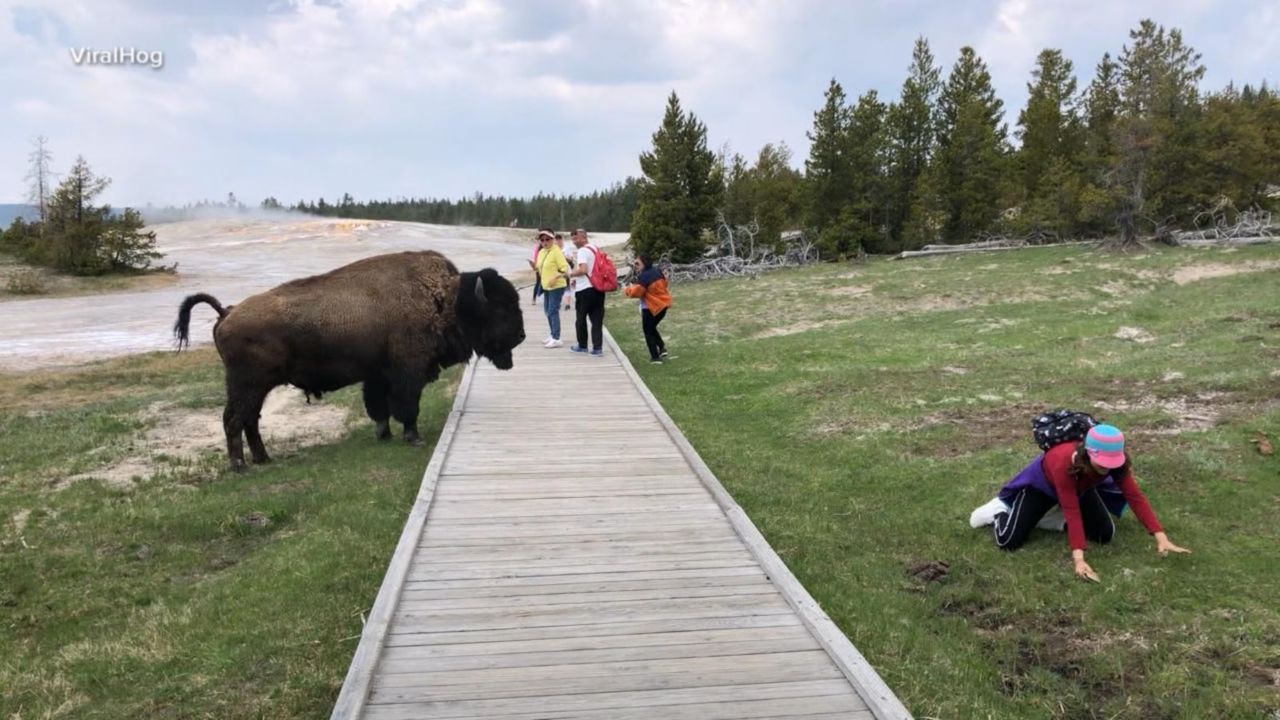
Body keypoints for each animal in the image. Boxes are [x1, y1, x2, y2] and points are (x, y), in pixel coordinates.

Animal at [173, 251, 525, 470]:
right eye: (501, 308)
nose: (521, 336)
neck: (445, 299)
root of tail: (227, 312)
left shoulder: (378, 374)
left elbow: (379, 407)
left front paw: (384, 435)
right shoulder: (408, 372)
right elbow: (406, 406)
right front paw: (413, 437)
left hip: (255, 387)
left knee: (249, 420)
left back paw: (263, 459)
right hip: (246, 384)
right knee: (234, 419)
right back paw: (240, 466)